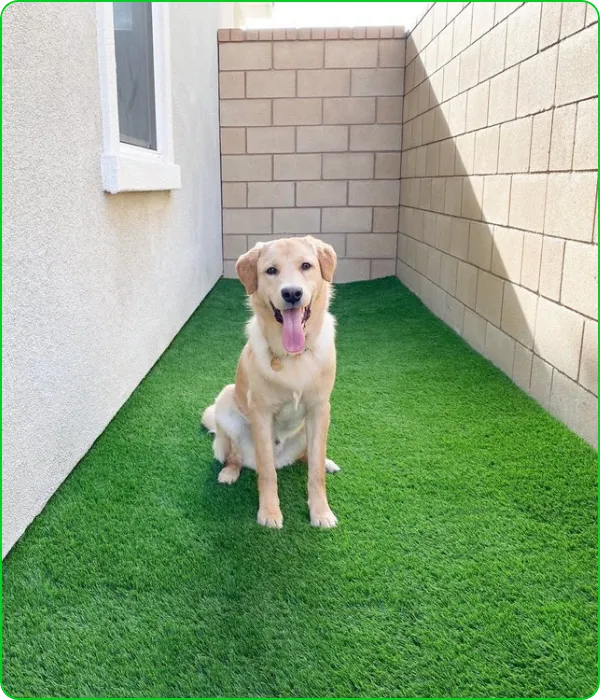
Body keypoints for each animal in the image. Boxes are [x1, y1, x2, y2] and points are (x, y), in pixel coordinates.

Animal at [202, 236, 340, 529]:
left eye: (306, 266)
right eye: (271, 270)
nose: (292, 293)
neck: (293, 355)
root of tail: (282, 459)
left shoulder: (319, 409)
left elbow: (315, 472)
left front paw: (321, 512)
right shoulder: (261, 414)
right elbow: (266, 473)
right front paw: (269, 512)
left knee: (309, 456)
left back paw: (327, 462)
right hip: (226, 401)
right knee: (236, 456)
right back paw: (229, 473)